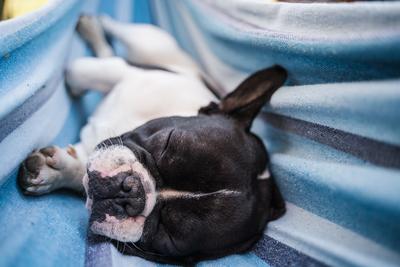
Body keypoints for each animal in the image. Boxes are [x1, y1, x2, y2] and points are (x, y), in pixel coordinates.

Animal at [18, 16, 286, 266]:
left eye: (169, 235)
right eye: (168, 141)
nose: (132, 193)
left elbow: (82, 171)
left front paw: (56, 171)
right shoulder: (132, 74)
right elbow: (81, 71)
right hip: (150, 43)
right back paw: (93, 27)